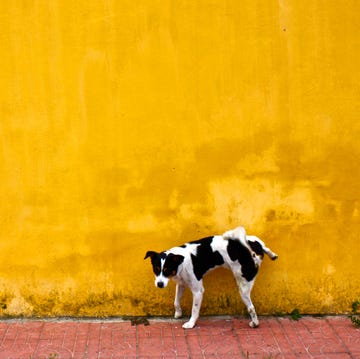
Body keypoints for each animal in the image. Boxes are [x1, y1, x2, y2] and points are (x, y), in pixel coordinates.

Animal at [144, 226, 278, 330]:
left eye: (166, 270)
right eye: (156, 269)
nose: (159, 284)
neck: (180, 262)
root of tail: (252, 250)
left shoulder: (198, 291)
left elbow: (194, 309)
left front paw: (191, 323)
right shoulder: (181, 283)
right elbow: (176, 301)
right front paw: (178, 313)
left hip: (243, 285)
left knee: (251, 308)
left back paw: (255, 323)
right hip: (253, 242)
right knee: (262, 245)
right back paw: (272, 254)